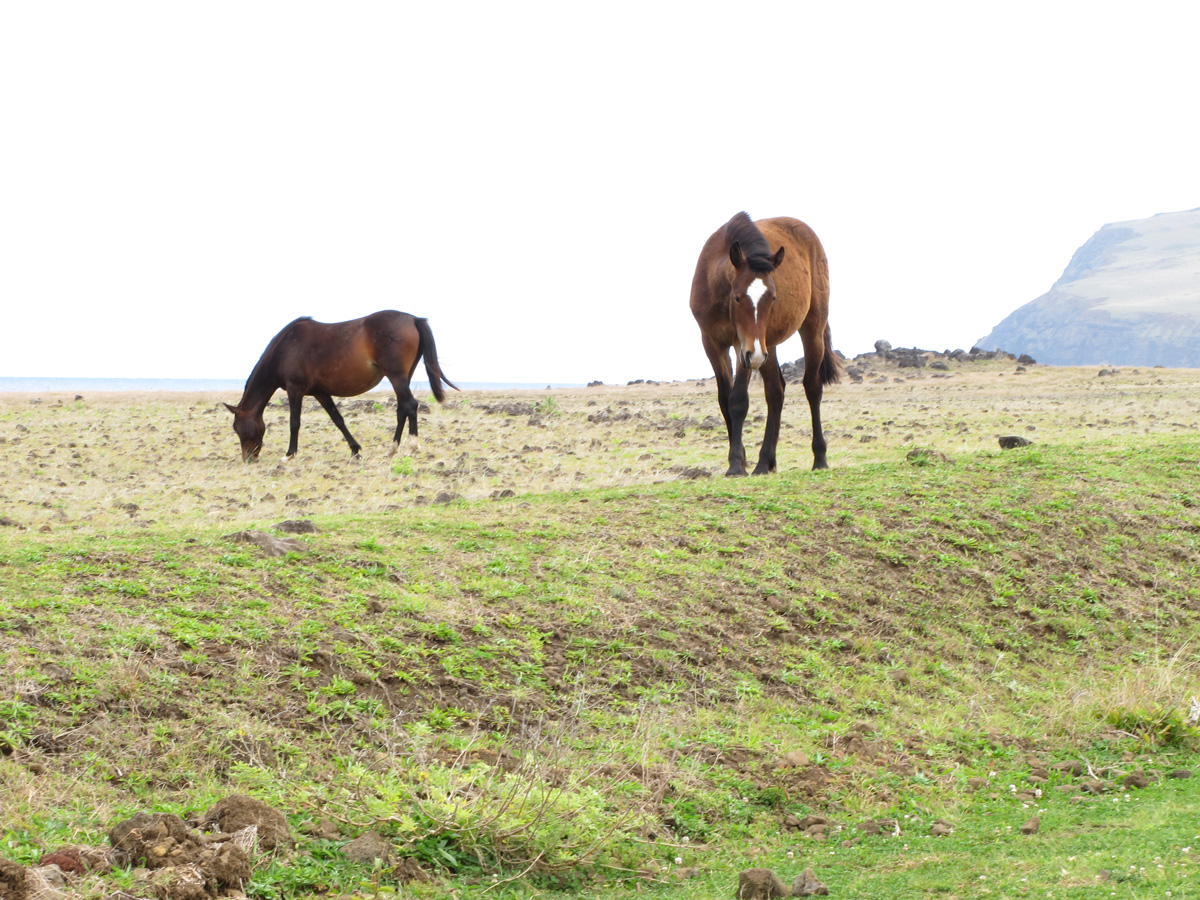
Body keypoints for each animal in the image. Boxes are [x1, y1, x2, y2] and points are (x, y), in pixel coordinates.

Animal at [224, 310, 458, 462]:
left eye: (237, 427)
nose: (248, 458)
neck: (285, 348)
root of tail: (413, 319)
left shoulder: (295, 389)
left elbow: (294, 422)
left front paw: (289, 454)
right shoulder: (320, 393)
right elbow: (338, 420)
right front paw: (355, 450)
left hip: (397, 377)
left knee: (410, 405)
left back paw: (411, 446)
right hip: (402, 378)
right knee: (402, 409)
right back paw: (392, 450)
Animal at [689, 212, 841, 475]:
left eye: (773, 297)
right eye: (737, 297)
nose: (756, 356)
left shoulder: (743, 347)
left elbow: (738, 400)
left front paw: (736, 465)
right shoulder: (712, 343)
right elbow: (724, 399)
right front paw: (741, 460)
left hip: (809, 330)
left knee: (812, 388)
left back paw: (819, 458)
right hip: (766, 346)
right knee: (776, 391)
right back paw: (765, 463)